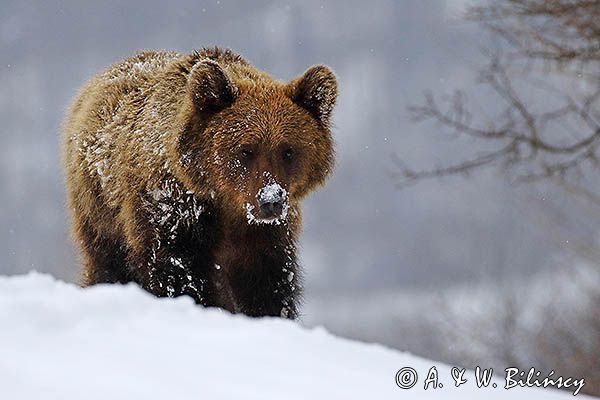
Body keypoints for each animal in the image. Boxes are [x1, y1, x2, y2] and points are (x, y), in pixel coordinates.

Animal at [63, 47, 340, 318]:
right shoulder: (174, 213)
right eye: (246, 150)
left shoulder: (264, 236)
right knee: (108, 264)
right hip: (100, 212)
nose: (270, 201)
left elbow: (266, 285)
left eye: (288, 151)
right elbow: (182, 275)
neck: (225, 202)